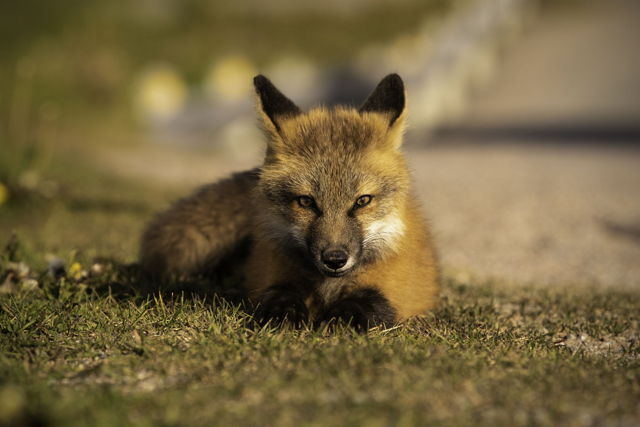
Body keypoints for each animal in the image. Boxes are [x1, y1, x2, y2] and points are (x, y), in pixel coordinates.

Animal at [139, 73, 439, 330]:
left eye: (362, 201)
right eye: (306, 202)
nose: (335, 259)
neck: (327, 286)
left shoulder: (401, 289)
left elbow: (368, 303)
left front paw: (337, 322)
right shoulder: (272, 273)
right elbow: (280, 294)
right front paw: (282, 317)